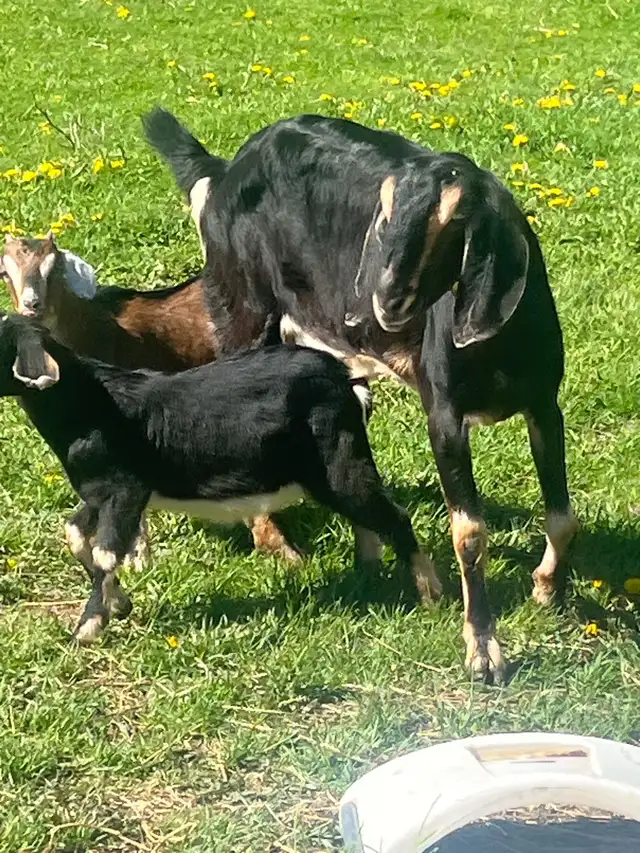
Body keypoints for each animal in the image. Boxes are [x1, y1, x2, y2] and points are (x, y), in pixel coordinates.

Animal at [0, 312, 440, 643]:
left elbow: (107, 552)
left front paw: (87, 628)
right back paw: (365, 573)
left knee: (392, 515)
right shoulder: (97, 493)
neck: (90, 406)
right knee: (367, 517)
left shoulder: (126, 490)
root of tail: (344, 380)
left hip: (338, 461)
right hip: (331, 471)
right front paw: (118, 605)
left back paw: (430, 596)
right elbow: (75, 534)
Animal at [144, 109, 578, 683]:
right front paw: (483, 652)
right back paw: (276, 543)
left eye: (455, 222)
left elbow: (563, 516)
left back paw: (368, 558)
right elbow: (469, 533)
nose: (374, 307)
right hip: (243, 311)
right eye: (383, 216)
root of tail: (224, 171)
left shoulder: (544, 404)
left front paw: (547, 590)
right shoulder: (445, 414)